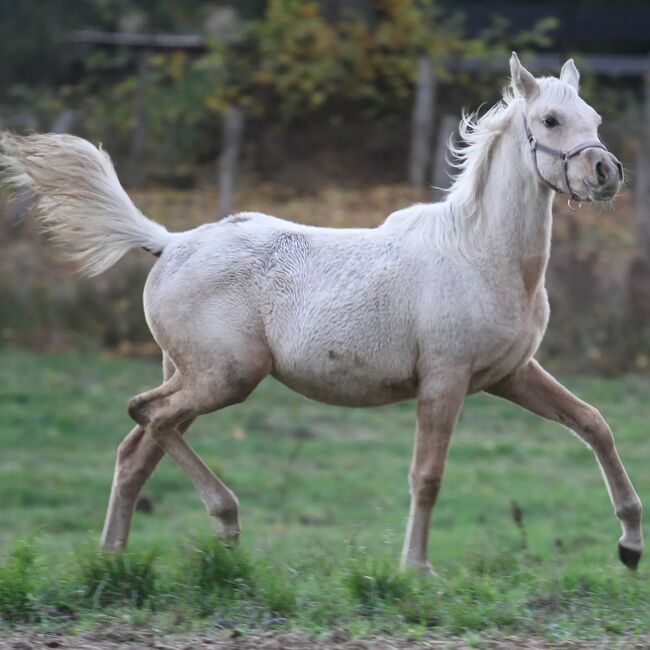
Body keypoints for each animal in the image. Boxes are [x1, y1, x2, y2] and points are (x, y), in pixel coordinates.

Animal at [0, 54, 640, 572]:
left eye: (595, 119)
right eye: (551, 121)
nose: (606, 173)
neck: (482, 254)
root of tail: (171, 241)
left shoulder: (510, 375)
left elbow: (594, 424)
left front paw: (630, 544)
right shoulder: (446, 379)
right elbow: (427, 475)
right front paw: (416, 569)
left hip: (191, 375)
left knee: (136, 450)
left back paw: (113, 558)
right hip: (226, 377)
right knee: (147, 415)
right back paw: (224, 521)